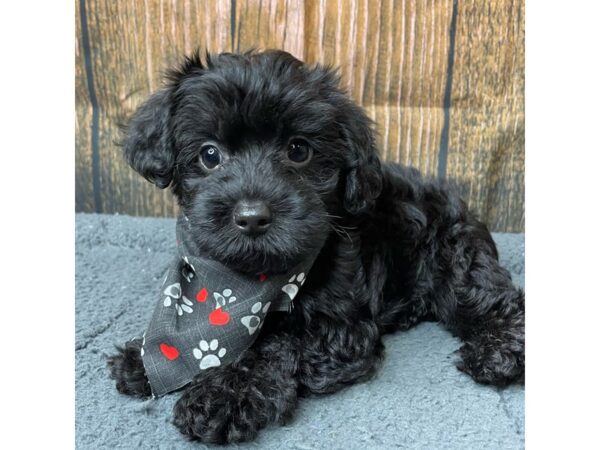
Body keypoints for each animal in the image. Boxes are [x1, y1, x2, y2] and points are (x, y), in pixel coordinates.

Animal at [109, 49, 524, 442]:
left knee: (491, 301)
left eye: (298, 150)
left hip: (456, 259)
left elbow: (273, 346)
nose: (252, 216)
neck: (242, 284)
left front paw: (221, 395)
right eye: (210, 155)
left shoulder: (341, 328)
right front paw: (141, 358)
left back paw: (498, 353)